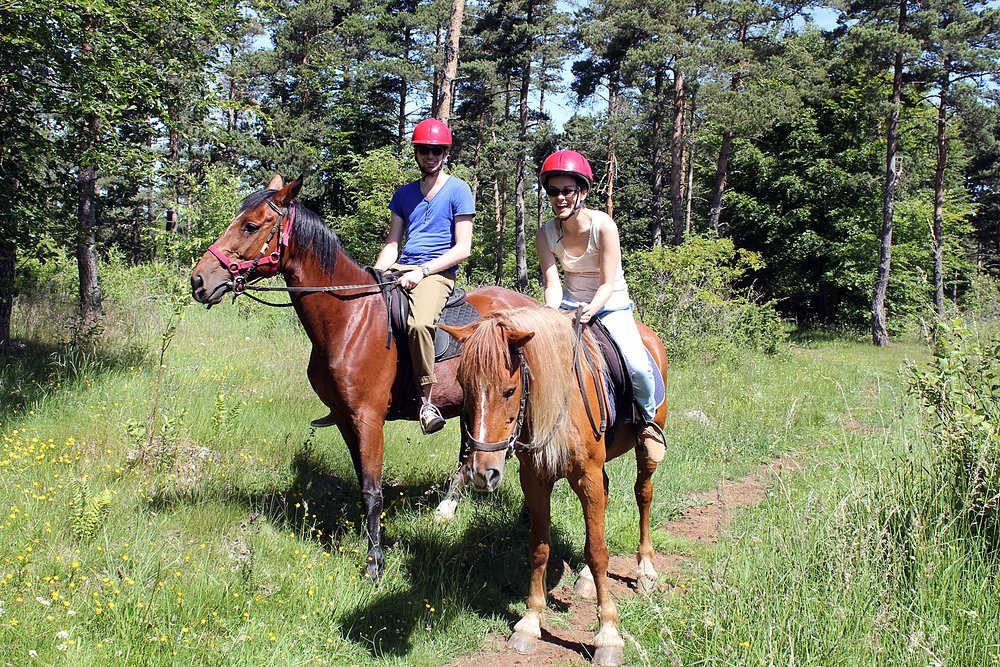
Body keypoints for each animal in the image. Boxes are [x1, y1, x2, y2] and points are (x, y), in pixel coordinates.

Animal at [194, 176, 540, 580]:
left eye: (250, 226)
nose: (199, 280)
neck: (350, 318)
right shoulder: (346, 418)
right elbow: (363, 482)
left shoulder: (368, 418)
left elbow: (373, 491)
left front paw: (375, 561)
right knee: (470, 453)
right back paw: (447, 508)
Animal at [442, 310, 668, 667]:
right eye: (464, 387)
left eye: (509, 391)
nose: (482, 473)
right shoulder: (535, 479)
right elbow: (540, 549)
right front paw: (530, 622)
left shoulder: (587, 476)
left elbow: (598, 551)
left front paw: (608, 634)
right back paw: (587, 580)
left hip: (645, 453)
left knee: (643, 495)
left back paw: (645, 570)